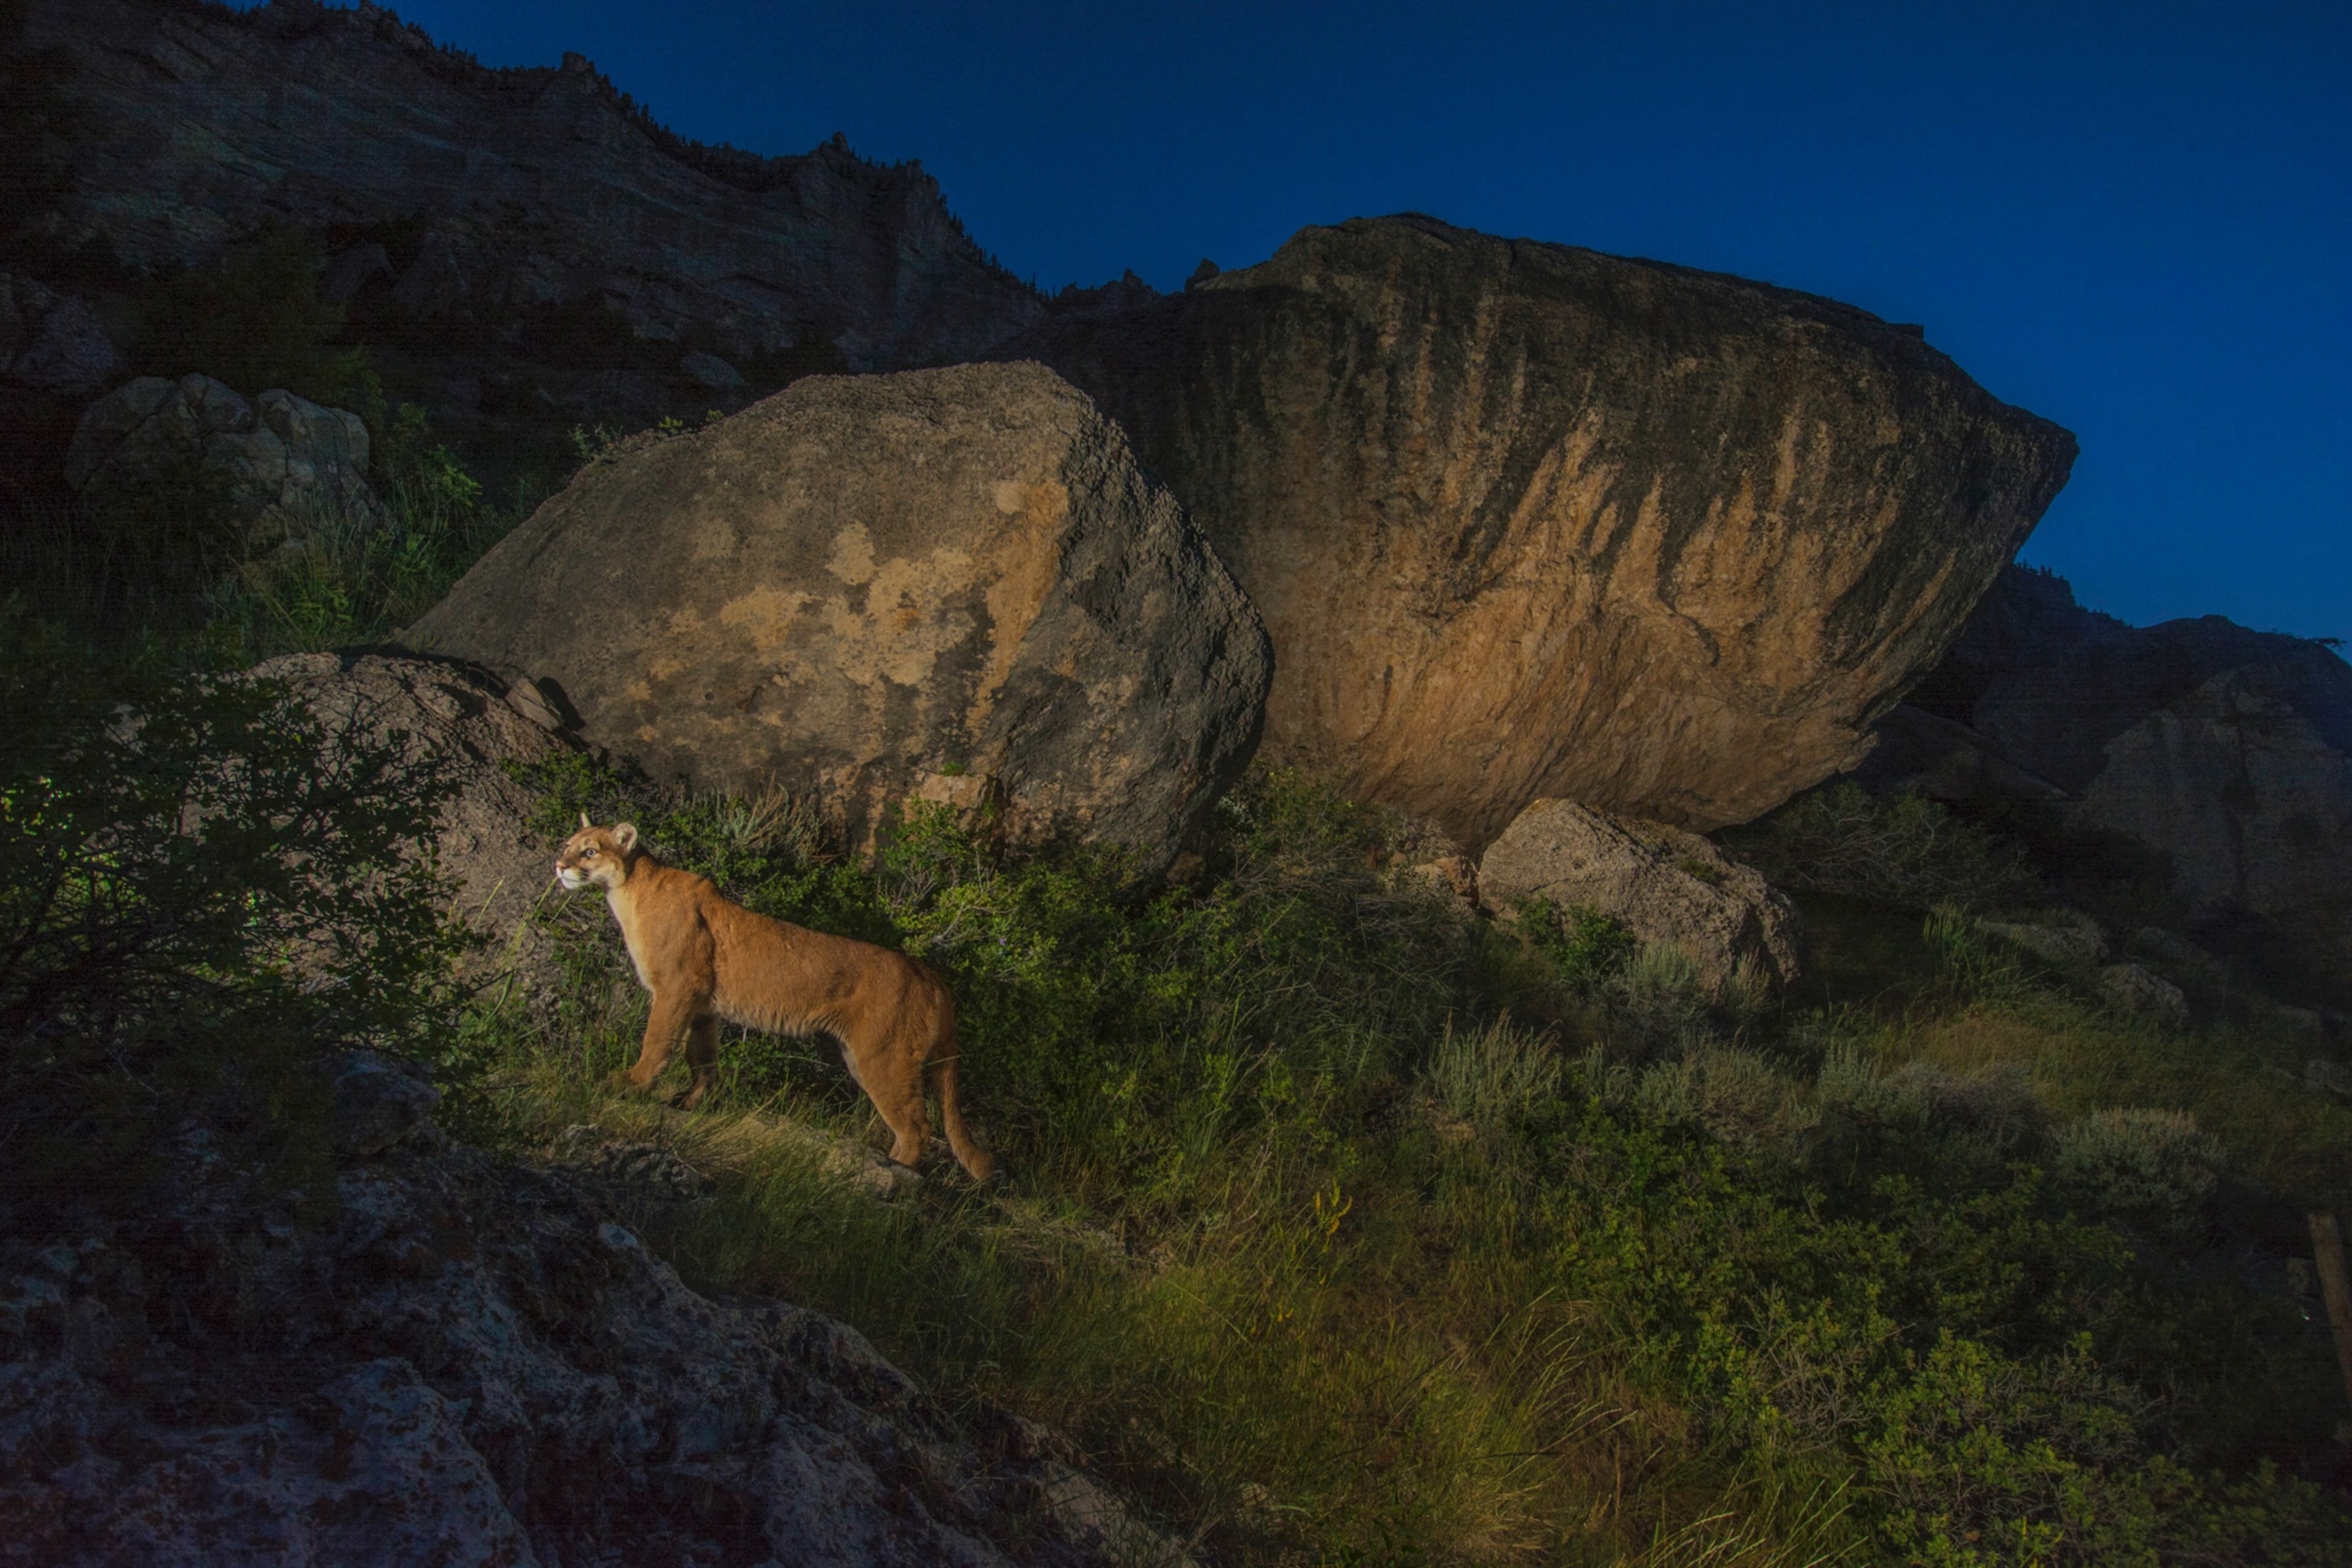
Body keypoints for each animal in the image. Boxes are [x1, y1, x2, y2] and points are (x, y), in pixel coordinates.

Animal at [554, 815, 994, 1180]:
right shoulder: (702, 1004)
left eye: (590, 851)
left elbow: (657, 1041)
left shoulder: (675, 989)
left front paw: (632, 1083)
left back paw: (891, 1174)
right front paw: (690, 1101)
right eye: (567, 844)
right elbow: (701, 1056)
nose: (559, 866)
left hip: (883, 1058)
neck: (629, 890)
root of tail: (927, 973)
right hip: (864, 1057)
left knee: (917, 1127)